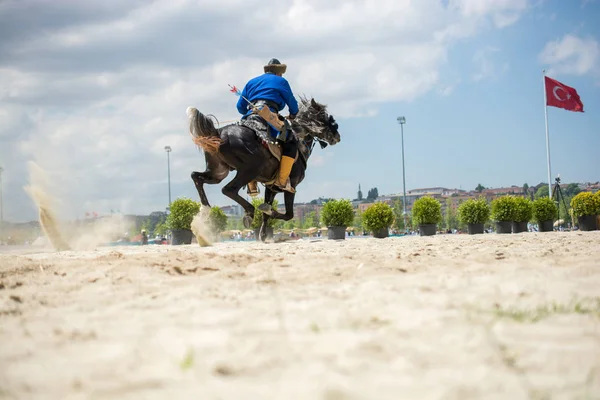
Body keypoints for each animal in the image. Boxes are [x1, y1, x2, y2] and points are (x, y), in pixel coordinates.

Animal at [185, 97, 340, 241]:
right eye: (323, 116)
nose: (337, 136)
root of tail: (219, 133)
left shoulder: (271, 188)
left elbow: (267, 214)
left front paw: (264, 234)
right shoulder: (291, 187)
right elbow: (288, 214)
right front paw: (271, 213)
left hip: (219, 172)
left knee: (196, 177)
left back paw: (206, 210)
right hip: (249, 170)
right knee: (228, 189)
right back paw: (249, 212)